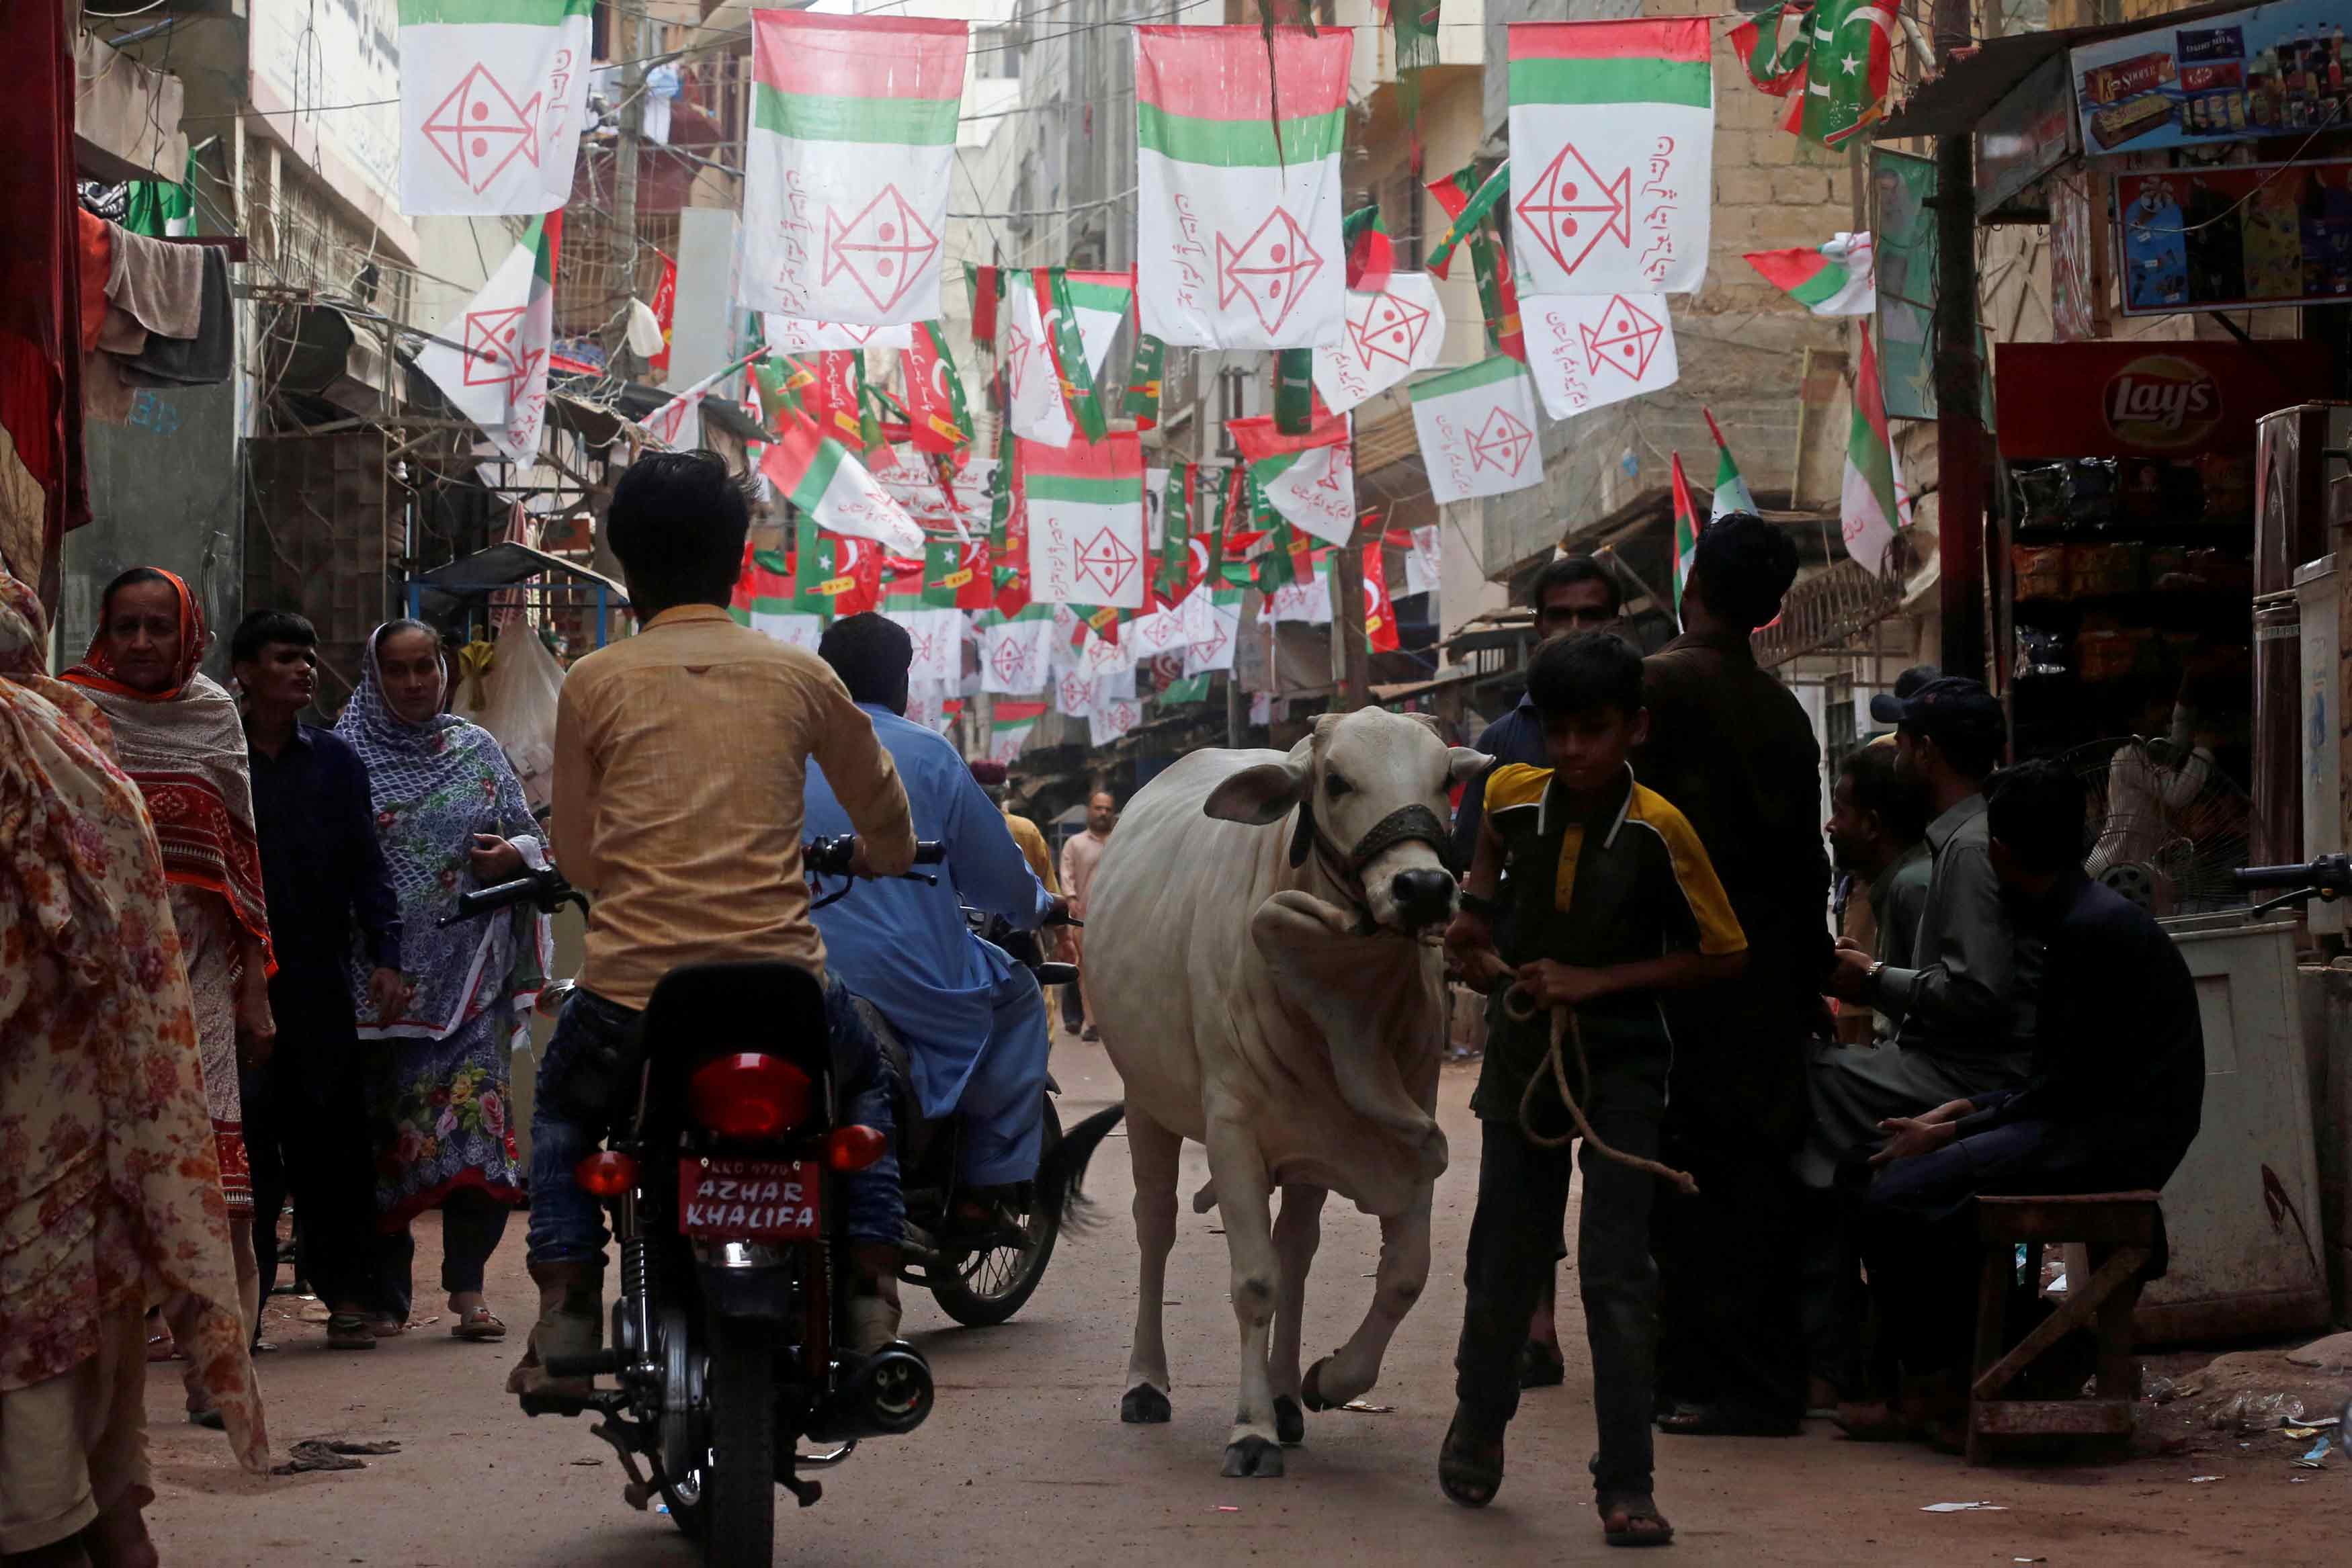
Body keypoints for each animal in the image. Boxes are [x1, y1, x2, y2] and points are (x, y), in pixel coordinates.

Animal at [1063, 719, 1477, 1476]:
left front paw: (1327, 1380)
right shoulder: (1232, 1133)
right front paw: (1249, 1431)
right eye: (1336, 781)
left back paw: (1287, 1398)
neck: (1340, 1003)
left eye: (1442, 780)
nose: (1426, 887)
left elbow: (1403, 1275)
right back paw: (1146, 1385)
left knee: (1298, 1251)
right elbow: (1254, 1281)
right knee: (1156, 1226)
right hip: (1144, 1104)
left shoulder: (1403, 1129)